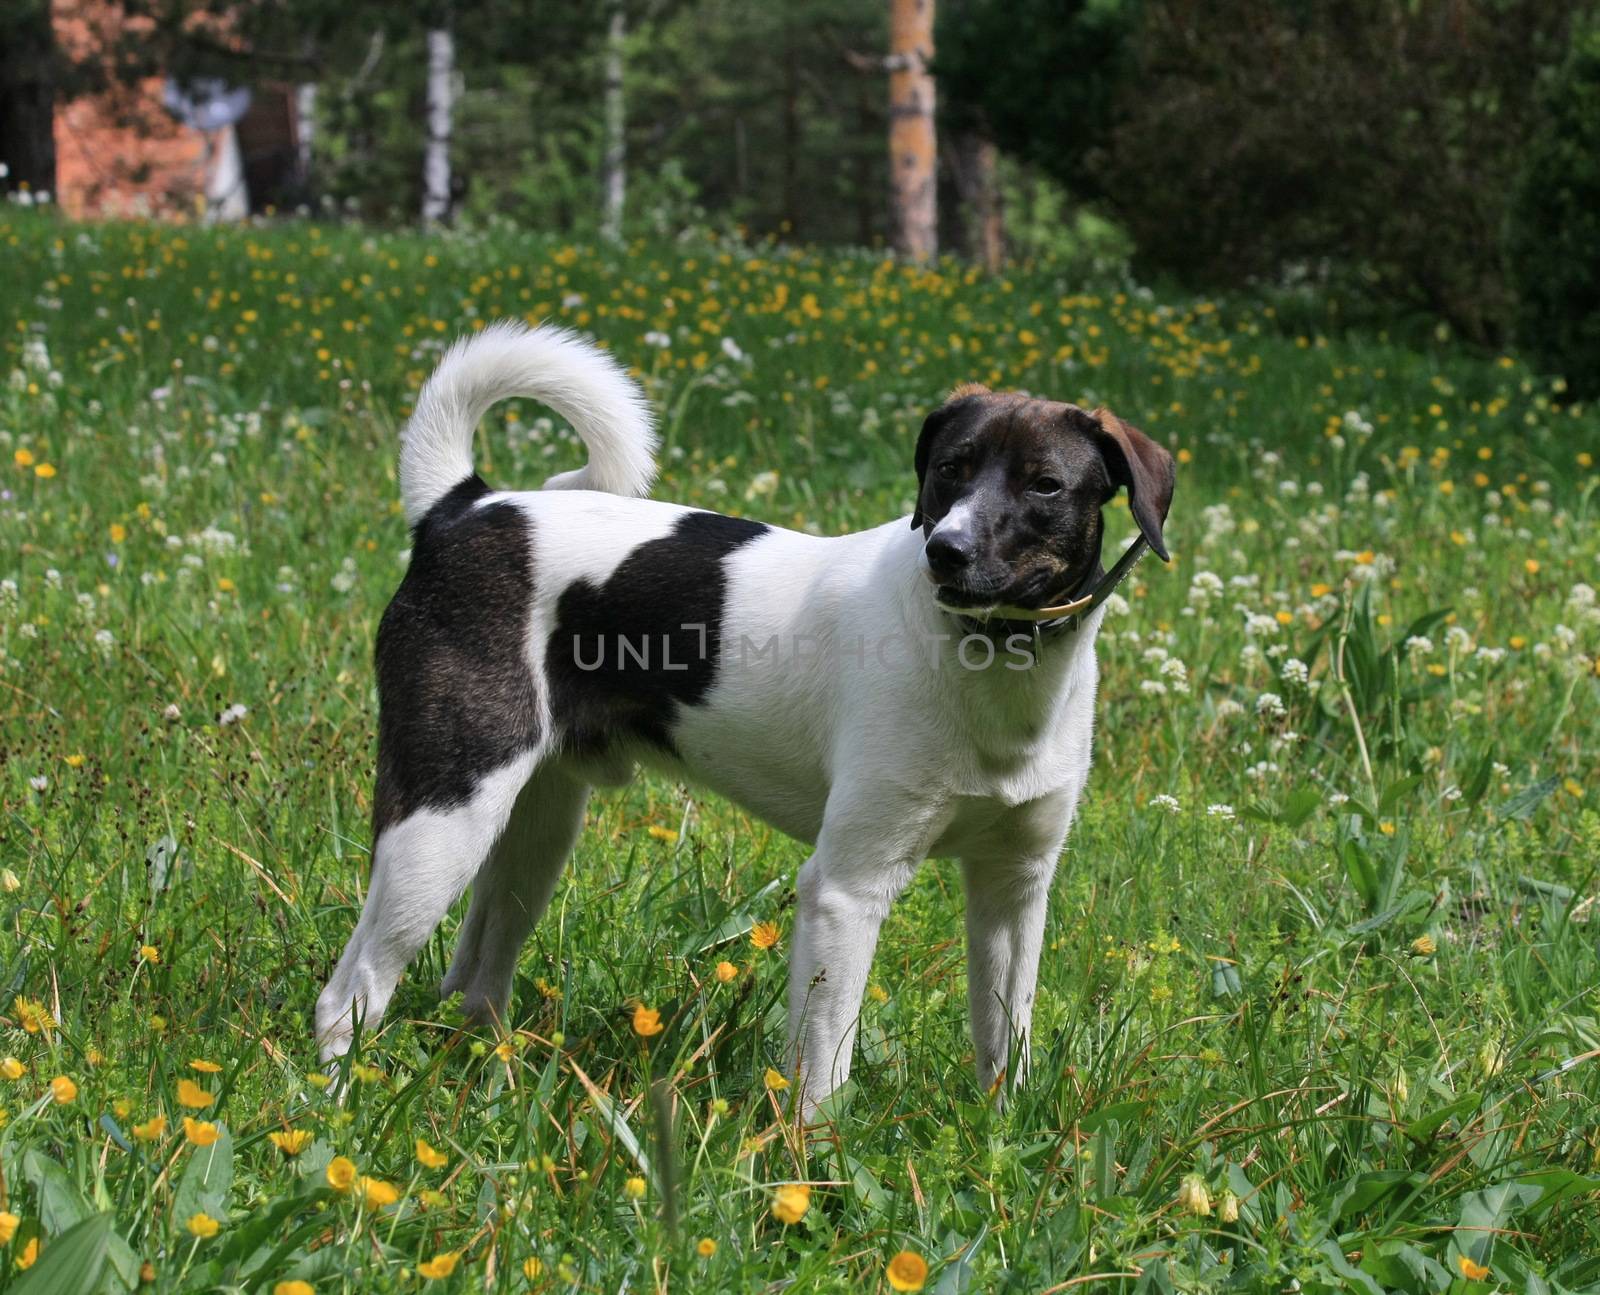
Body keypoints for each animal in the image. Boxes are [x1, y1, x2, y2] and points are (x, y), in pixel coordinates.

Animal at [315, 318, 1177, 1107]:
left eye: (1044, 485)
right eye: (948, 472)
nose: (947, 552)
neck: (989, 663)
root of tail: (466, 507)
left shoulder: (1015, 887)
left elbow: (1006, 1039)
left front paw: (1006, 1134)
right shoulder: (847, 887)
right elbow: (824, 1066)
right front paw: (813, 1155)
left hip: (533, 827)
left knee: (473, 974)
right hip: (442, 816)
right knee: (350, 988)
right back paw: (337, 1105)